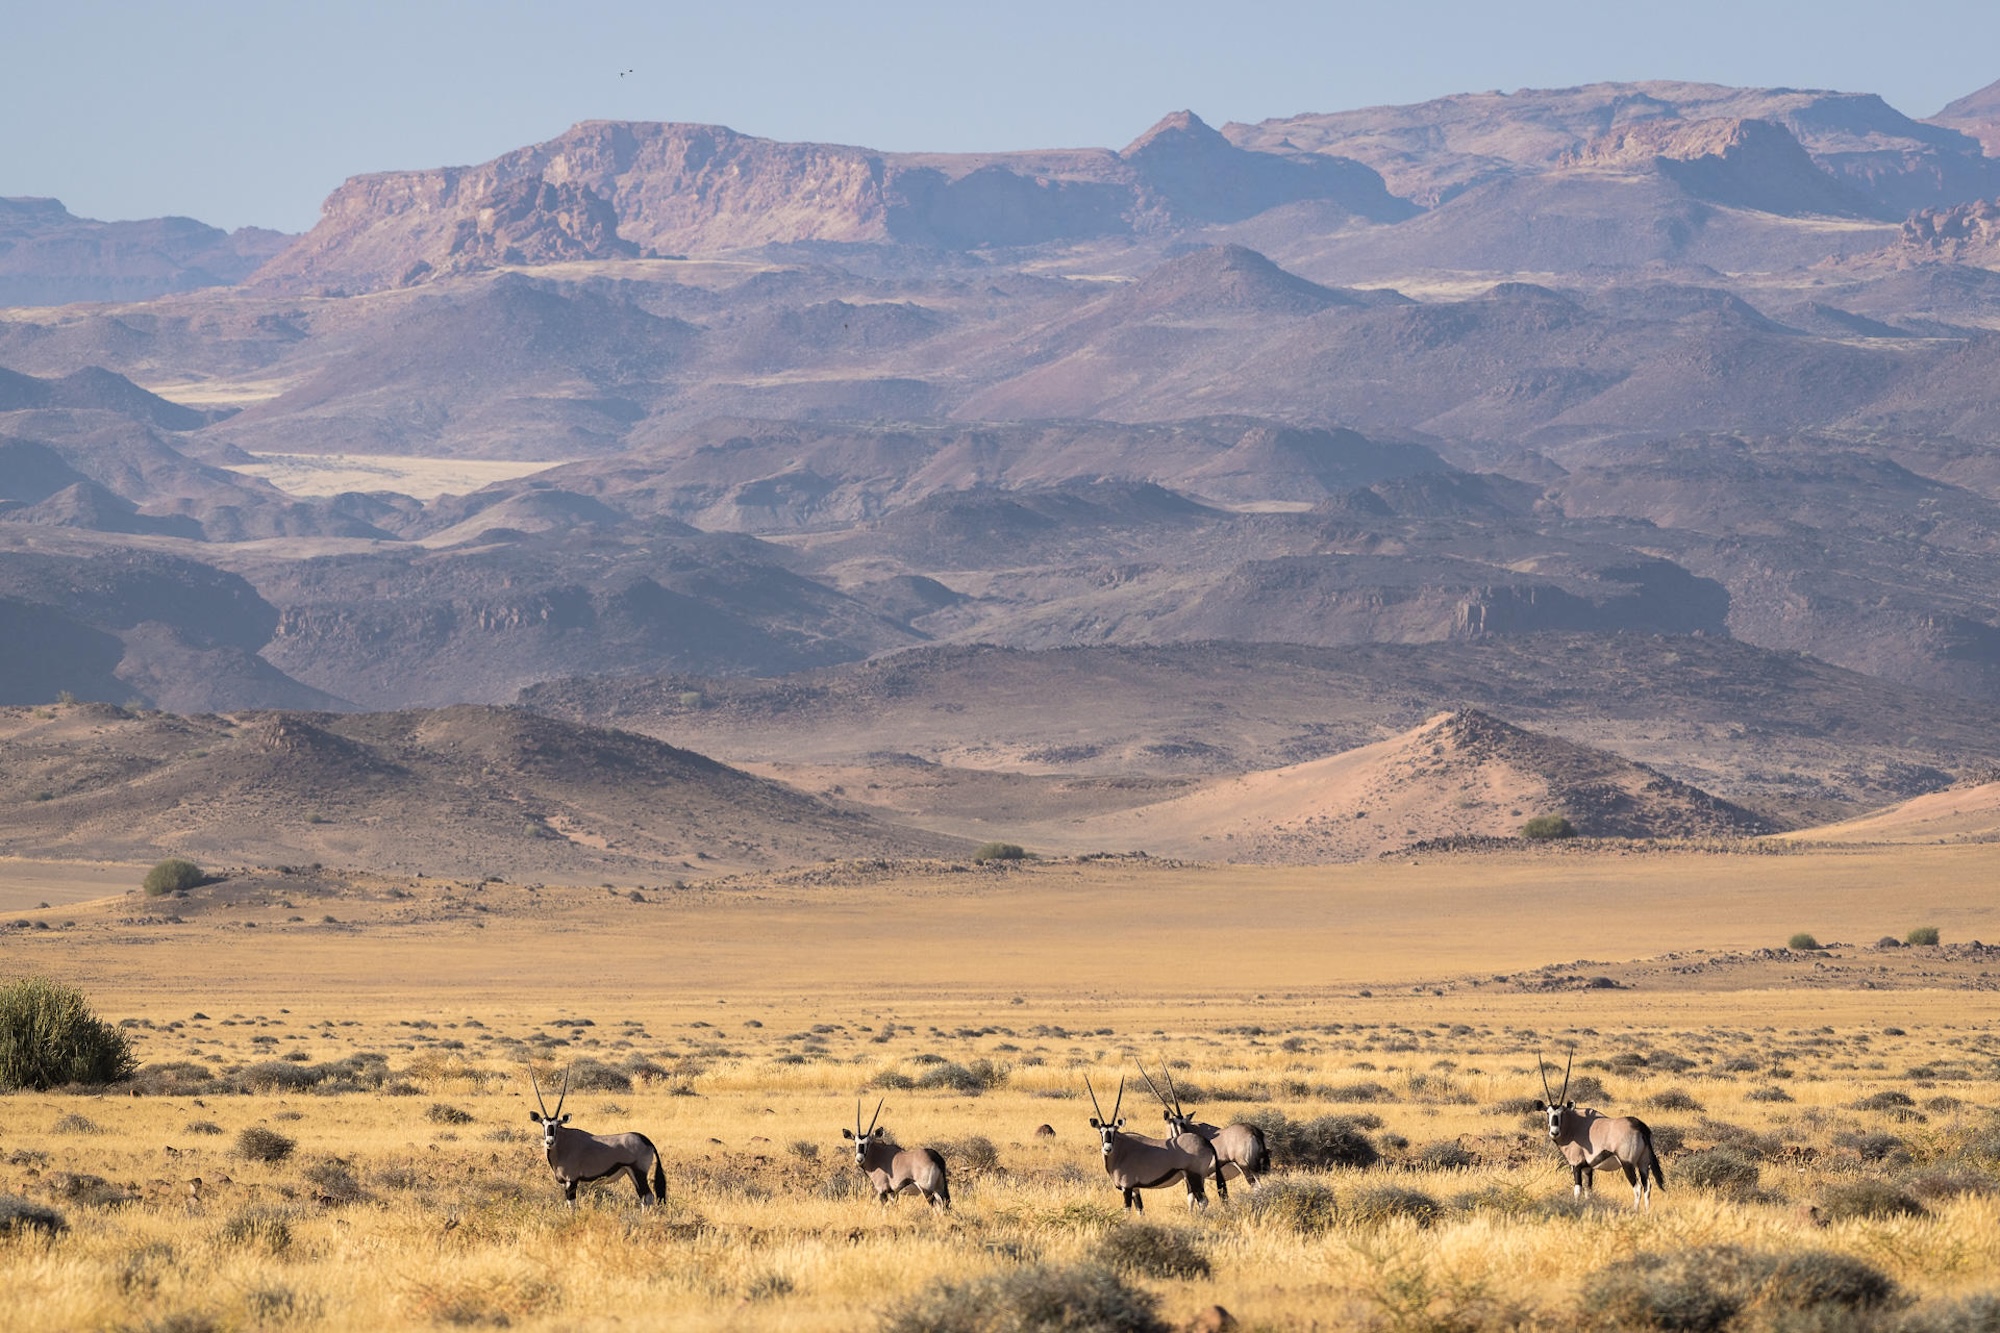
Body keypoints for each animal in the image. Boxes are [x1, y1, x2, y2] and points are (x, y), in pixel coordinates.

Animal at [527, 1065, 666, 1210]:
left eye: (557, 1125)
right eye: (543, 1124)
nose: (550, 1141)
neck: (563, 1144)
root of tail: (646, 1140)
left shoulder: (572, 1180)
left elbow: (572, 1205)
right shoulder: (566, 1183)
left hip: (639, 1172)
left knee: (648, 1196)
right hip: (631, 1173)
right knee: (644, 1197)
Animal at [1086, 1075, 1216, 1212]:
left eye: (1114, 1132)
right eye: (1101, 1131)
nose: (1107, 1148)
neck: (1121, 1151)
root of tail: (1205, 1143)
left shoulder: (1127, 1187)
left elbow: (1127, 1210)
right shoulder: (1135, 1189)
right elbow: (1140, 1210)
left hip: (1194, 1176)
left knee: (1203, 1201)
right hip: (1192, 1179)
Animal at [1142, 1064, 1270, 1201]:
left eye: (1182, 1124)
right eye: (1174, 1125)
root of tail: (1253, 1131)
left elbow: (1192, 1197)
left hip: (1245, 1167)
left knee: (1257, 1188)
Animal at [1532, 1050, 1664, 1210]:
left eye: (1561, 1113)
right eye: (1548, 1113)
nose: (1554, 1132)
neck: (1574, 1126)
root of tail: (1639, 1125)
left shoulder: (1576, 1165)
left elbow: (1577, 1190)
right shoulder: (1588, 1168)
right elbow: (1588, 1191)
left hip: (1628, 1163)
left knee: (1637, 1187)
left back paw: (1635, 1211)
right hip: (1643, 1163)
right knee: (1647, 1186)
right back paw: (1646, 1212)